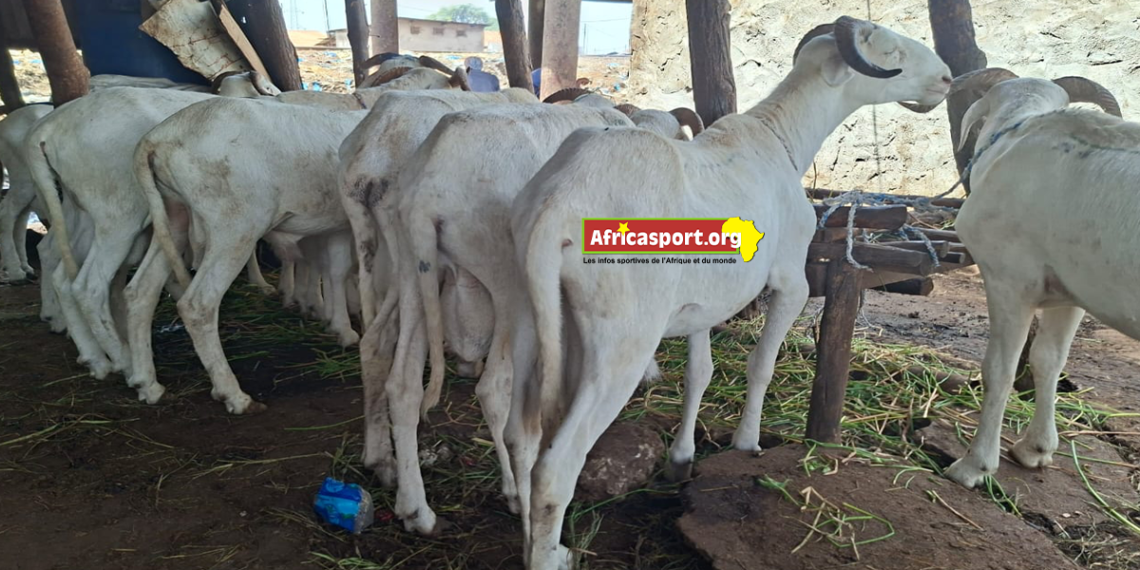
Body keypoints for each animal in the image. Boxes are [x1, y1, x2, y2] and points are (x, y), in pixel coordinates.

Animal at [123, 67, 524, 413]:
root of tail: (157, 138)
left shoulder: (337, 226)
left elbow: (335, 270)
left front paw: (337, 323)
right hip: (234, 226)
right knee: (198, 305)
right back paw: (234, 394)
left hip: (172, 215)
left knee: (140, 291)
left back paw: (146, 383)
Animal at [364, 101, 701, 535]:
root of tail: (428, 189)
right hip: (508, 281)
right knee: (494, 391)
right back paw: (515, 494)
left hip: (412, 272)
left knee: (399, 378)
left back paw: (413, 507)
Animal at [504, 17, 952, 568]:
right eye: (891, 52)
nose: (946, 79)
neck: (778, 137)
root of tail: (558, 206)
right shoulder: (791, 282)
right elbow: (760, 366)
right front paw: (745, 444)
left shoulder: (701, 304)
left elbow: (699, 374)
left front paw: (682, 458)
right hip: (620, 344)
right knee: (555, 466)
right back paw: (553, 554)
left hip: (531, 315)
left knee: (520, 437)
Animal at [934, 68, 1127, 489]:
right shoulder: (1072, 292)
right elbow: (1048, 360)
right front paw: (1035, 449)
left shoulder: (1010, 281)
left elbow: (999, 370)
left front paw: (974, 466)